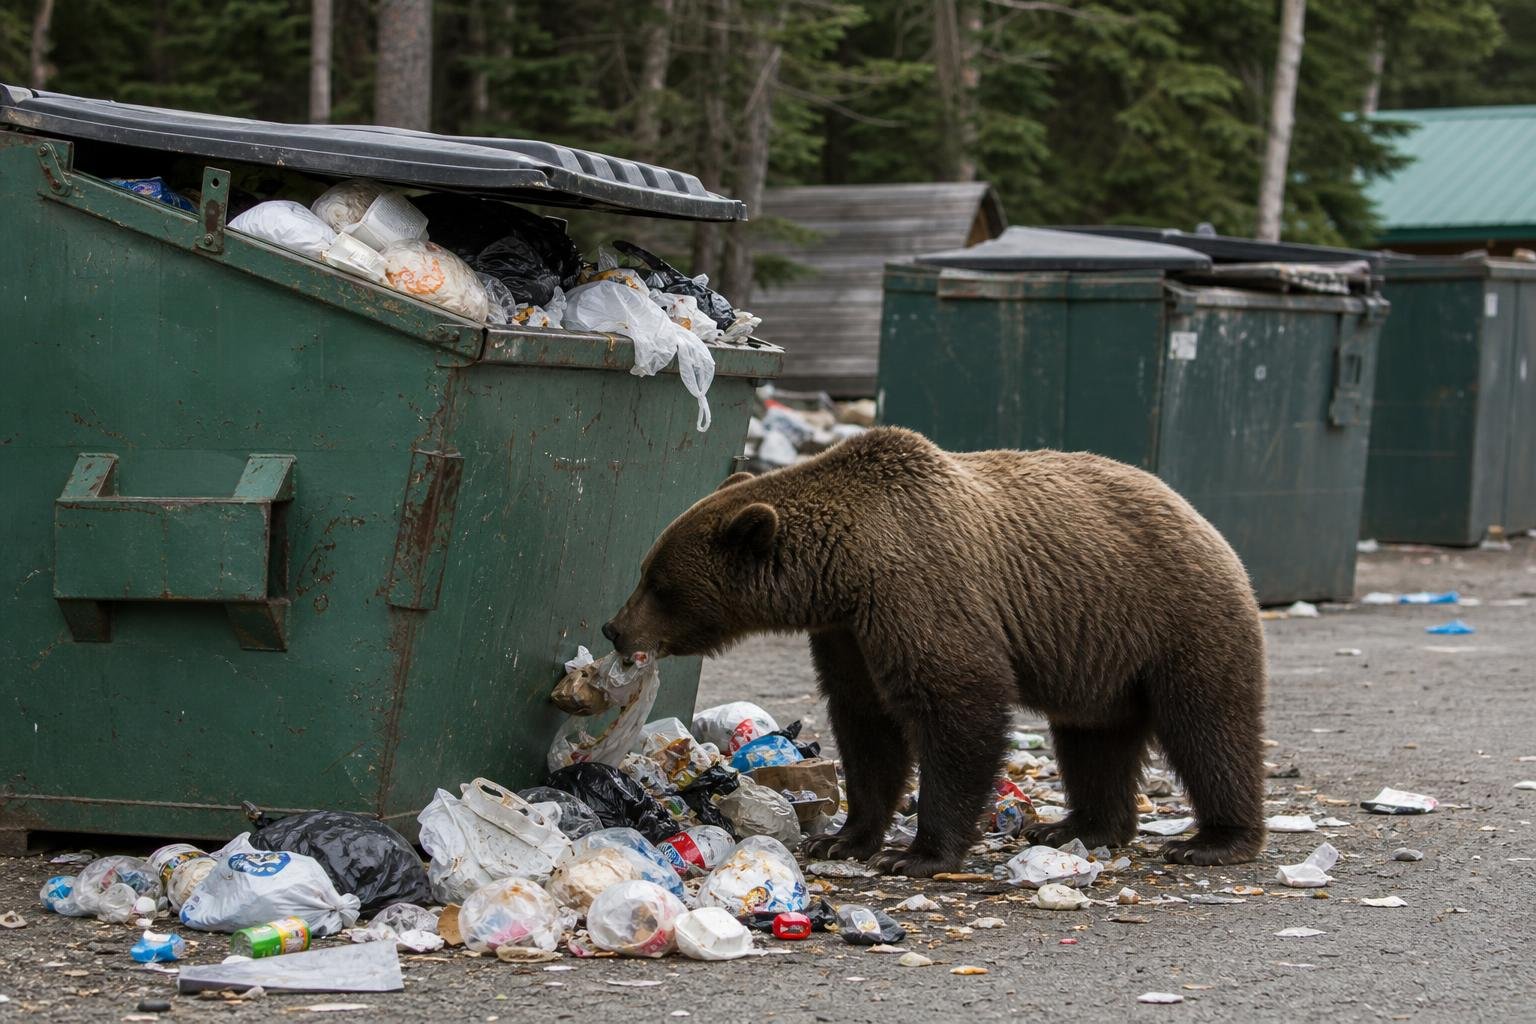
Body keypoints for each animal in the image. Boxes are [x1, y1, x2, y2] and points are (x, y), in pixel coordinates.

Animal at [602, 427, 1267, 876]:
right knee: (1092, 741)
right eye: (646, 570)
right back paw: (1075, 828)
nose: (614, 628)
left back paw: (1211, 840)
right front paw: (840, 838)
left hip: (1176, 619)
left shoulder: (919, 591)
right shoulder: (847, 634)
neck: (844, 572)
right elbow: (866, 727)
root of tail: (1201, 517)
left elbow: (957, 705)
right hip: (1101, 658)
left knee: (1209, 727)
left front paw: (918, 853)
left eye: (659, 584)